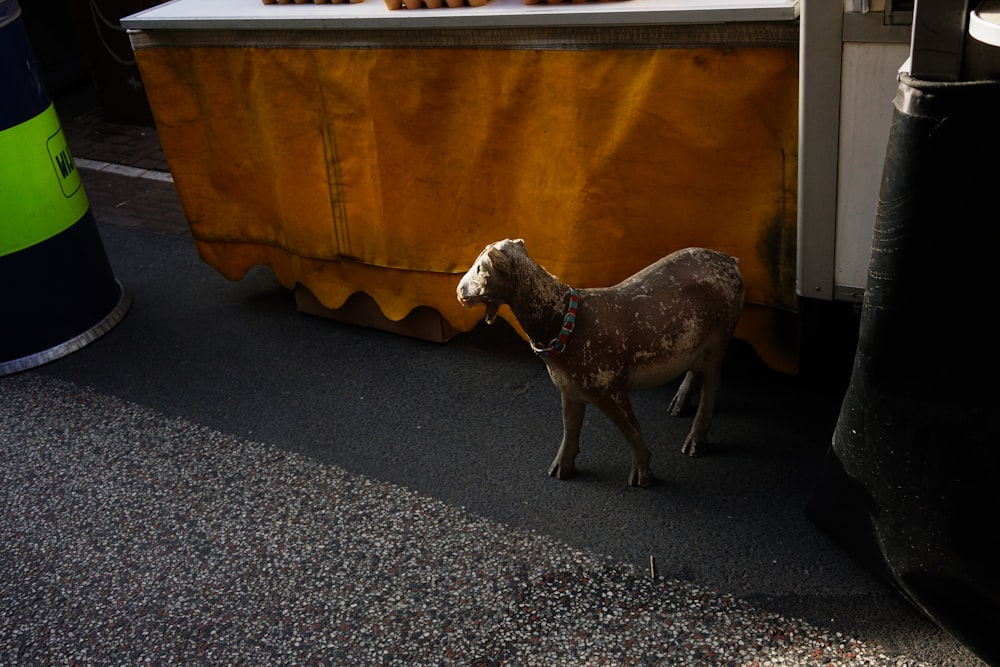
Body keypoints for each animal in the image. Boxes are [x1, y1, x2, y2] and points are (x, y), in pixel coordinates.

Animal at [454, 239, 744, 486]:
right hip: (695, 344)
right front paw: (560, 468)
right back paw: (679, 403)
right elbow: (570, 427)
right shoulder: (569, 389)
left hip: (720, 339)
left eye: (480, 267)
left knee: (711, 386)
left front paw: (642, 475)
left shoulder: (610, 387)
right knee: (695, 371)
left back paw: (695, 442)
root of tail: (730, 261)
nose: (458, 290)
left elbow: (631, 429)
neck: (566, 323)